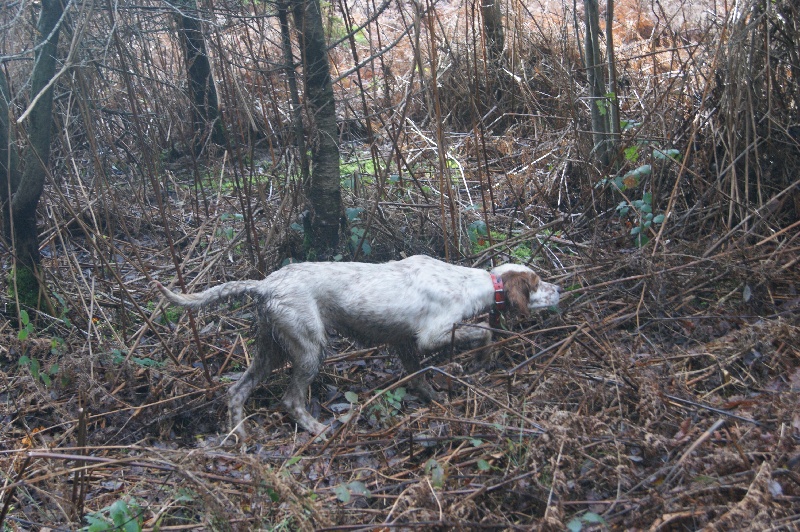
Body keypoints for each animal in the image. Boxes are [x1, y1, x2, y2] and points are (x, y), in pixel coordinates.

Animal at [153, 256, 560, 436]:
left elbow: (419, 377)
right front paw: (478, 361)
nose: (559, 289)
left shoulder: (405, 344)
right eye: (537, 282)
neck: (469, 281)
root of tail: (264, 285)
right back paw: (317, 429)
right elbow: (483, 332)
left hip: (271, 349)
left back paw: (239, 435)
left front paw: (434, 396)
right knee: (291, 400)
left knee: (236, 392)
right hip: (308, 349)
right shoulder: (431, 335)